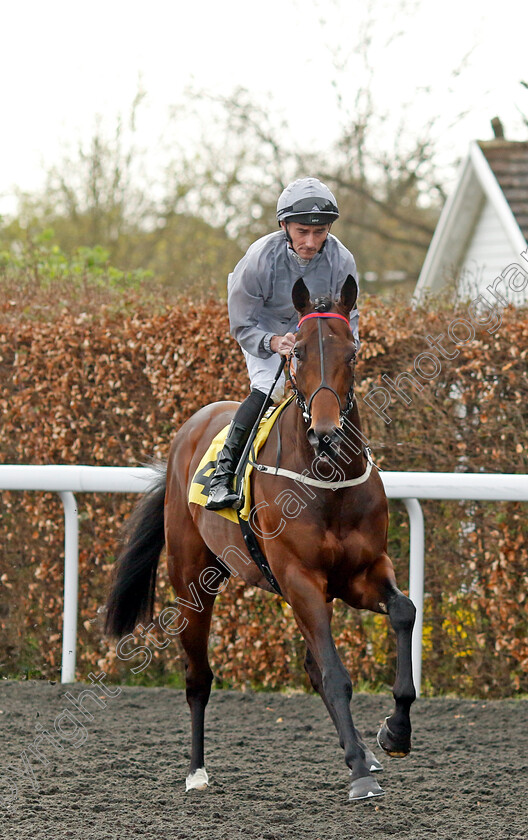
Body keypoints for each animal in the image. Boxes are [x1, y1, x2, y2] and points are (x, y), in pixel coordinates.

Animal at [104, 276, 416, 800]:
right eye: (298, 354)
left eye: (352, 353)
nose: (327, 434)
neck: (326, 482)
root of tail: (187, 432)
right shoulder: (300, 577)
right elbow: (335, 673)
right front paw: (357, 771)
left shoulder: (360, 573)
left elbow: (403, 613)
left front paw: (393, 734)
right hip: (192, 581)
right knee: (198, 676)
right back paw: (196, 771)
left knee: (311, 664)